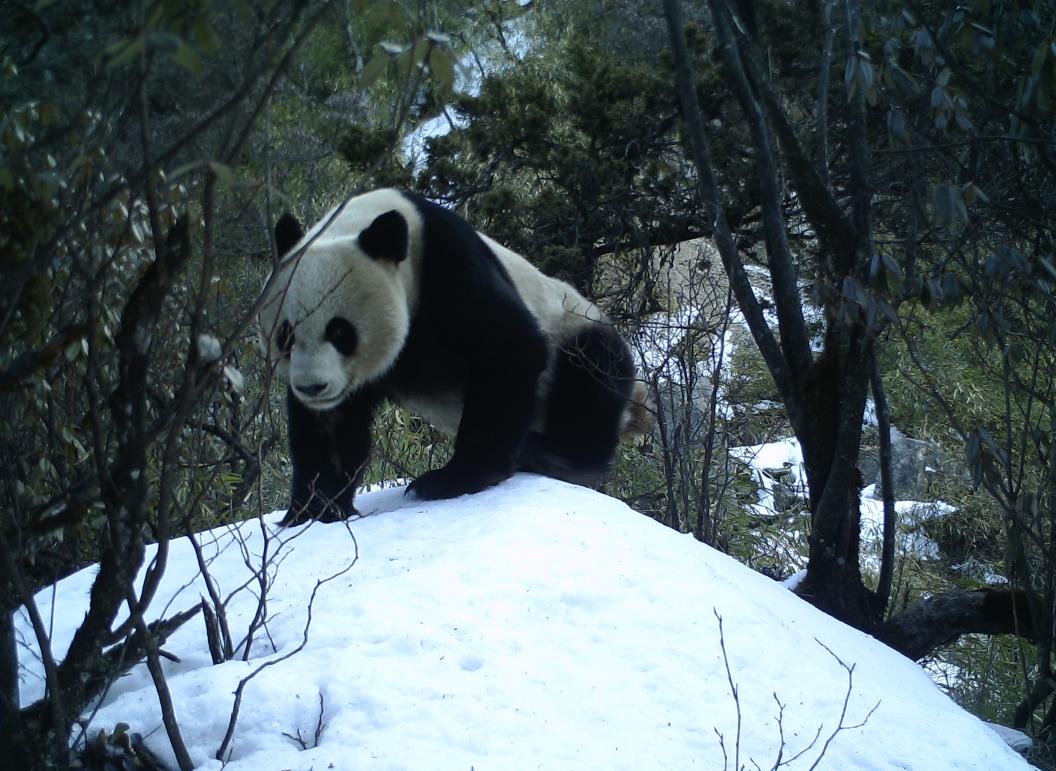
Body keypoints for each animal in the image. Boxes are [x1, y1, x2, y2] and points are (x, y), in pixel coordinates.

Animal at [256, 187, 650, 521]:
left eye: (340, 333)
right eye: (286, 334)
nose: (312, 387)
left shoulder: (446, 265)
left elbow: (508, 346)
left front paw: (451, 480)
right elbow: (331, 426)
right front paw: (314, 511)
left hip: (575, 327)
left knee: (592, 378)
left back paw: (552, 456)